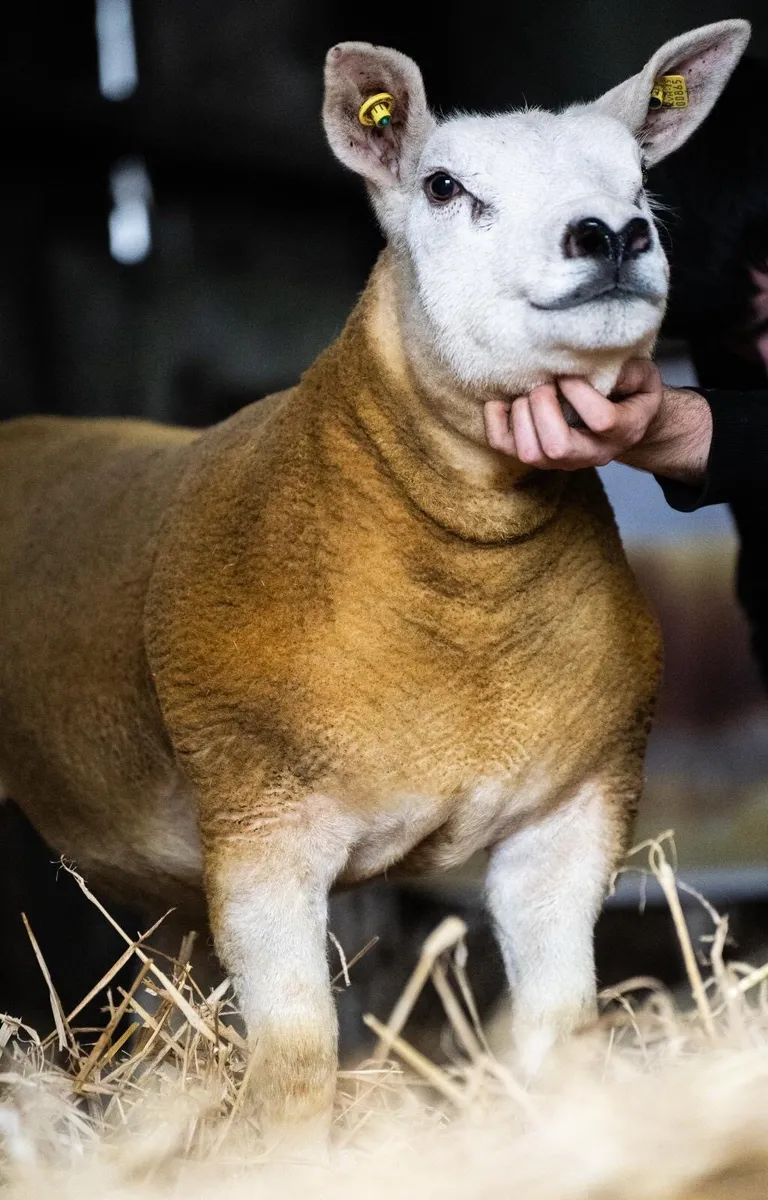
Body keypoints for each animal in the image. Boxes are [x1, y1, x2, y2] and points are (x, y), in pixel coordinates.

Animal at [0, 20, 748, 1151]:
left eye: (639, 179)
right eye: (442, 185)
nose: (612, 234)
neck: (466, 583)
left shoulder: (571, 810)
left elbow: (561, 1025)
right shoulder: (259, 826)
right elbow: (300, 1055)